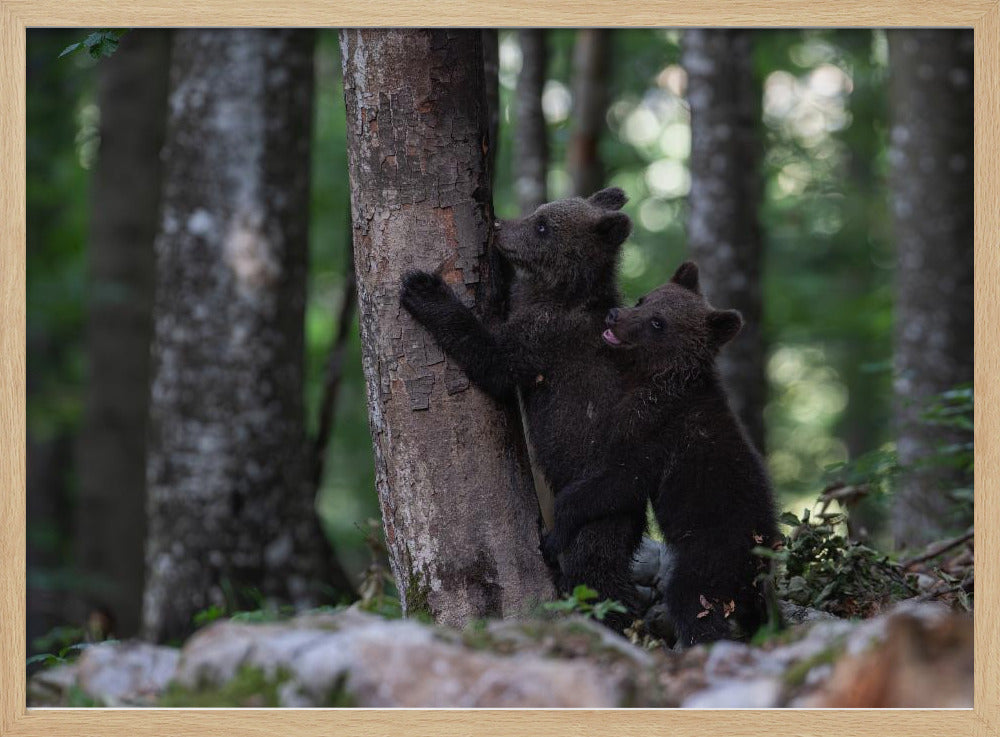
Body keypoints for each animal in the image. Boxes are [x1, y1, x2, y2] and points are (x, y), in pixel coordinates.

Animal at [399, 187, 647, 632]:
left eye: (543, 226)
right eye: (538, 213)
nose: (500, 228)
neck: (559, 292)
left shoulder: (543, 339)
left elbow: (493, 361)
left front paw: (424, 288)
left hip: (599, 500)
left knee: (594, 563)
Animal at [541, 261, 780, 646]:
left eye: (658, 323)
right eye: (644, 299)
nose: (615, 315)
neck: (657, 379)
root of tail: (758, 563)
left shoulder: (655, 434)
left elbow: (618, 481)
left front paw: (554, 533)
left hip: (711, 555)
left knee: (691, 600)